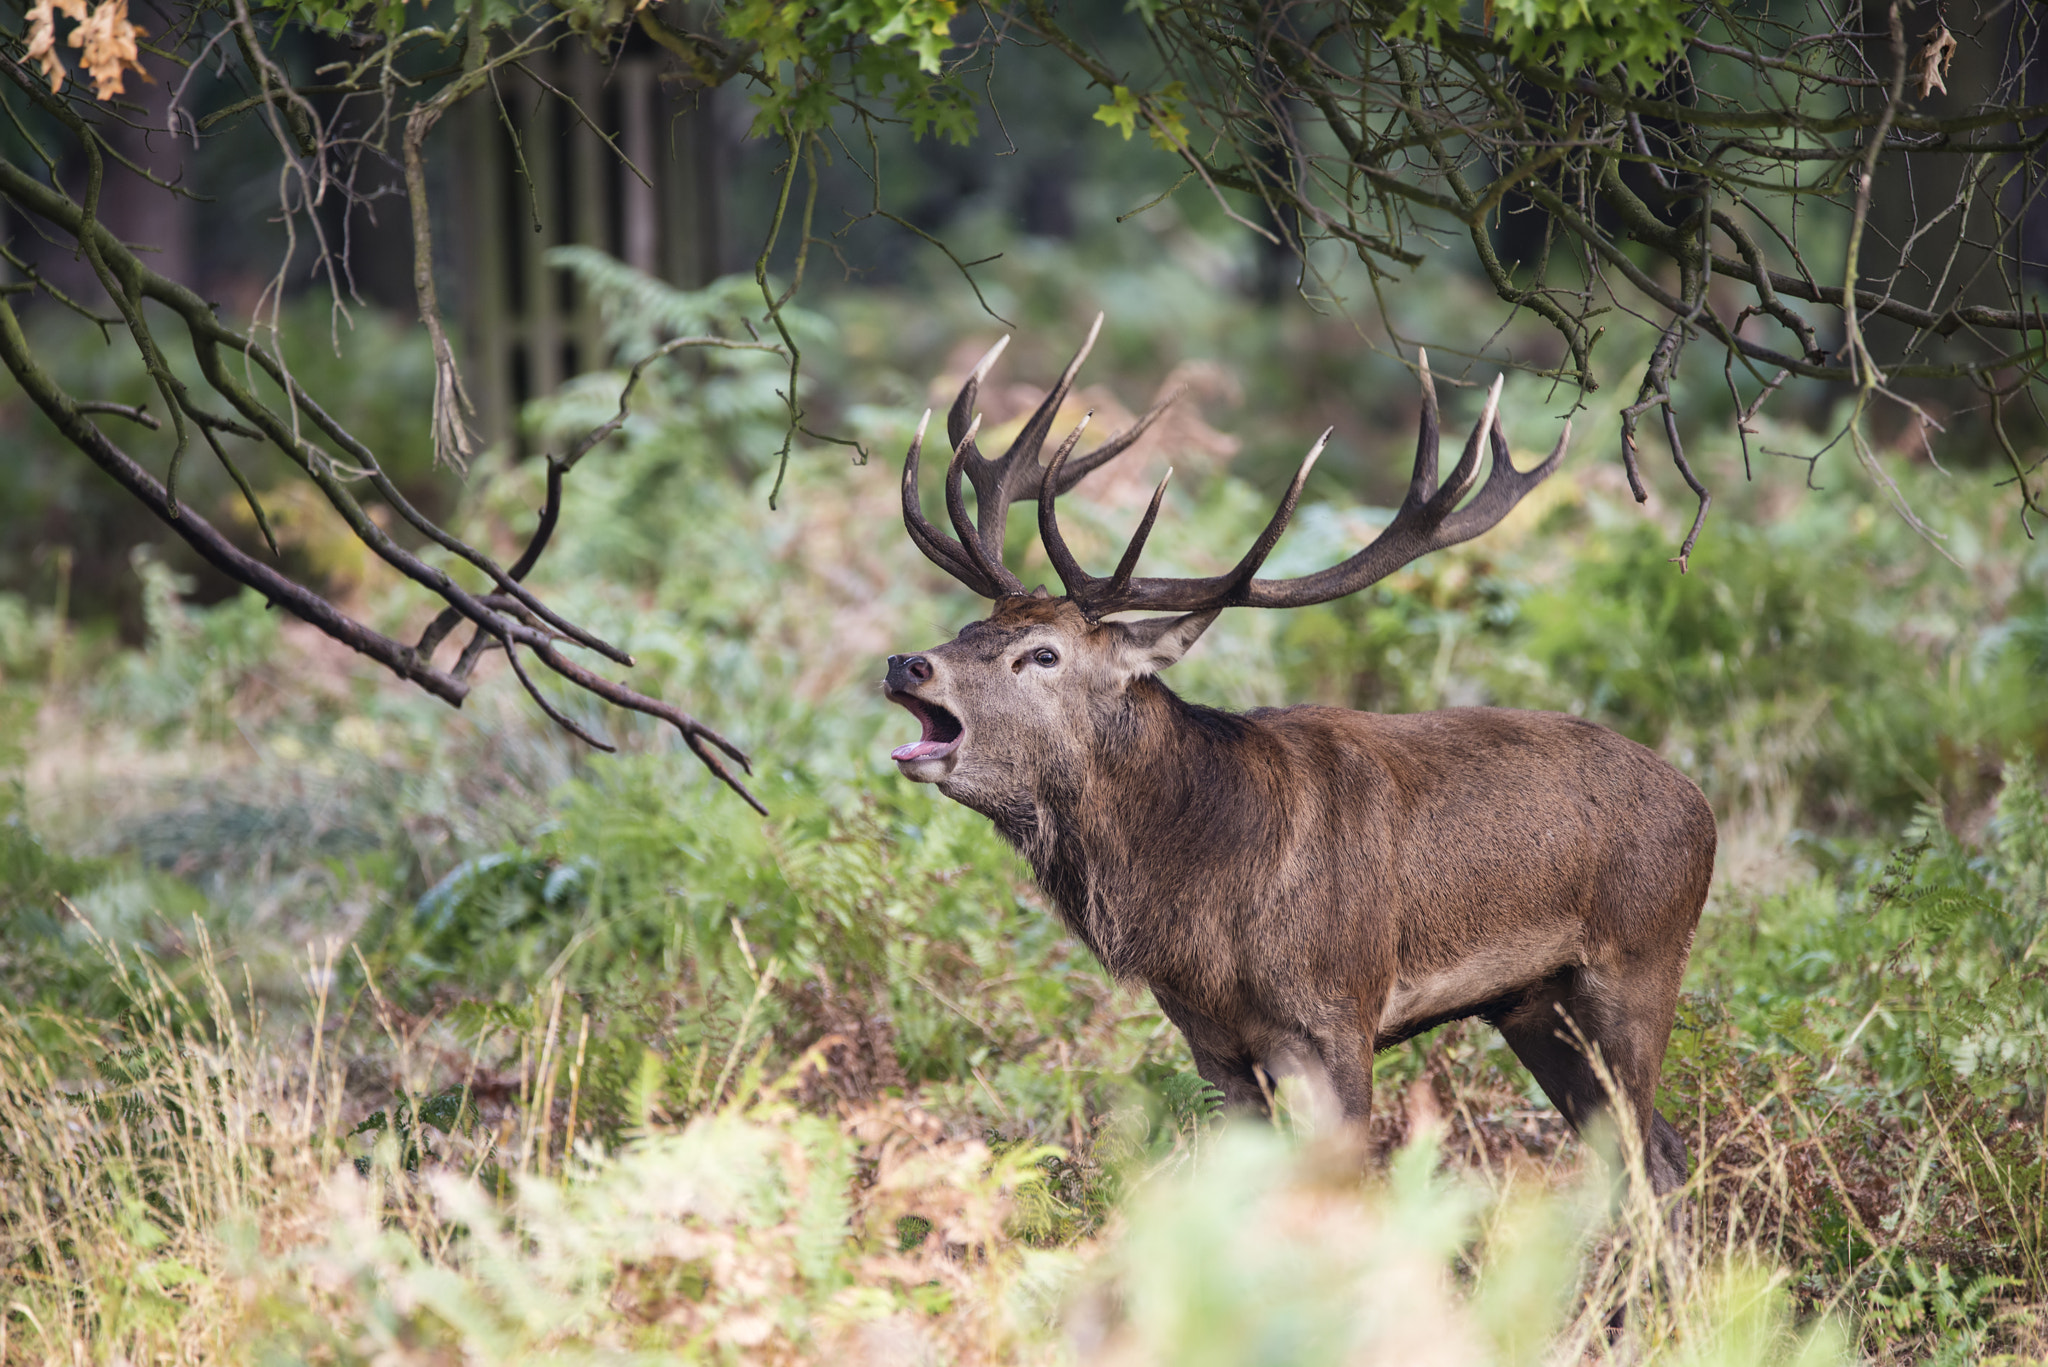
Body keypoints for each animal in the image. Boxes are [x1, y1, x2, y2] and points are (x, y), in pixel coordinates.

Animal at [881, 318, 1716, 1199]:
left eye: (1042, 653)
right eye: (971, 628)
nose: (907, 663)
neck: (1201, 912)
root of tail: (1701, 805)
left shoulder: (1336, 1016)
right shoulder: (1211, 1041)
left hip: (1640, 960)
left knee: (1654, 1151)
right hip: (1534, 1005)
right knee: (1643, 1148)